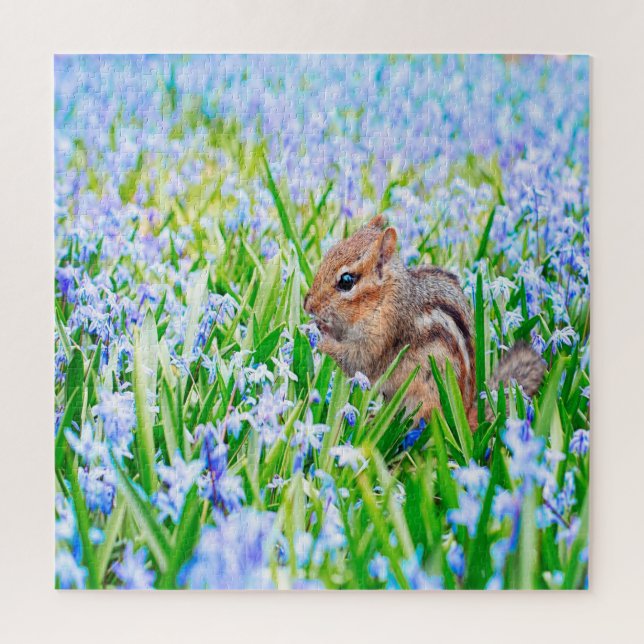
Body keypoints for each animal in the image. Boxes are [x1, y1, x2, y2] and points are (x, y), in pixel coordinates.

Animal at [303, 215, 545, 430]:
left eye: (346, 281)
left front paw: (320, 337)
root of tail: (466, 414)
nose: (307, 305)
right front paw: (316, 326)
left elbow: (355, 360)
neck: (383, 298)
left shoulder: (381, 338)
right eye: (329, 253)